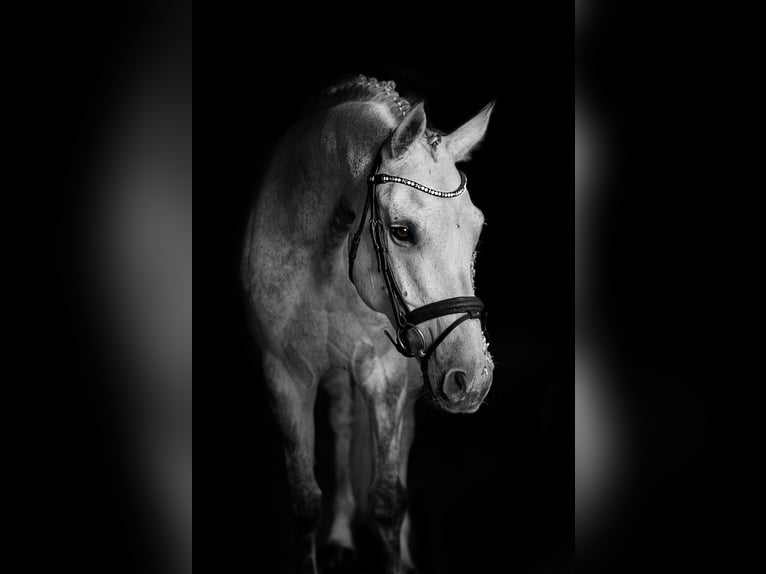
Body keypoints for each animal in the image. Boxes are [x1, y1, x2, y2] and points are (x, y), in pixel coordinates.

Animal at [242, 75, 495, 574]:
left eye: (477, 229)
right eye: (402, 231)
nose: (472, 379)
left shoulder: (385, 374)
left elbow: (387, 502)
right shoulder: (284, 376)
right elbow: (304, 503)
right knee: (342, 425)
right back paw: (341, 534)